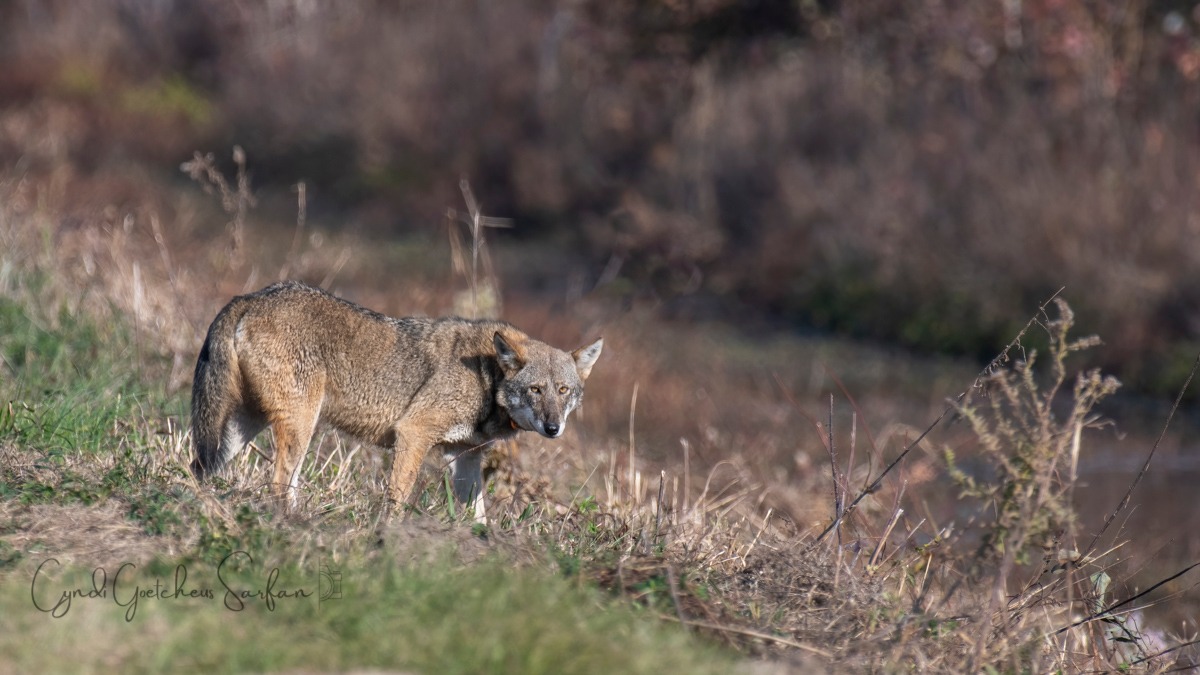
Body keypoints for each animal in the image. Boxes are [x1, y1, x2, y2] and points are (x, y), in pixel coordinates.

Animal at [189, 281, 602, 515]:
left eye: (563, 390)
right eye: (536, 390)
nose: (553, 427)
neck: (488, 377)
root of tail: (249, 297)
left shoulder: (466, 459)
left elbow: (479, 517)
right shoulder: (413, 434)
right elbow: (399, 498)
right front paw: (389, 538)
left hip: (241, 431)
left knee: (200, 467)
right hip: (299, 427)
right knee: (278, 482)